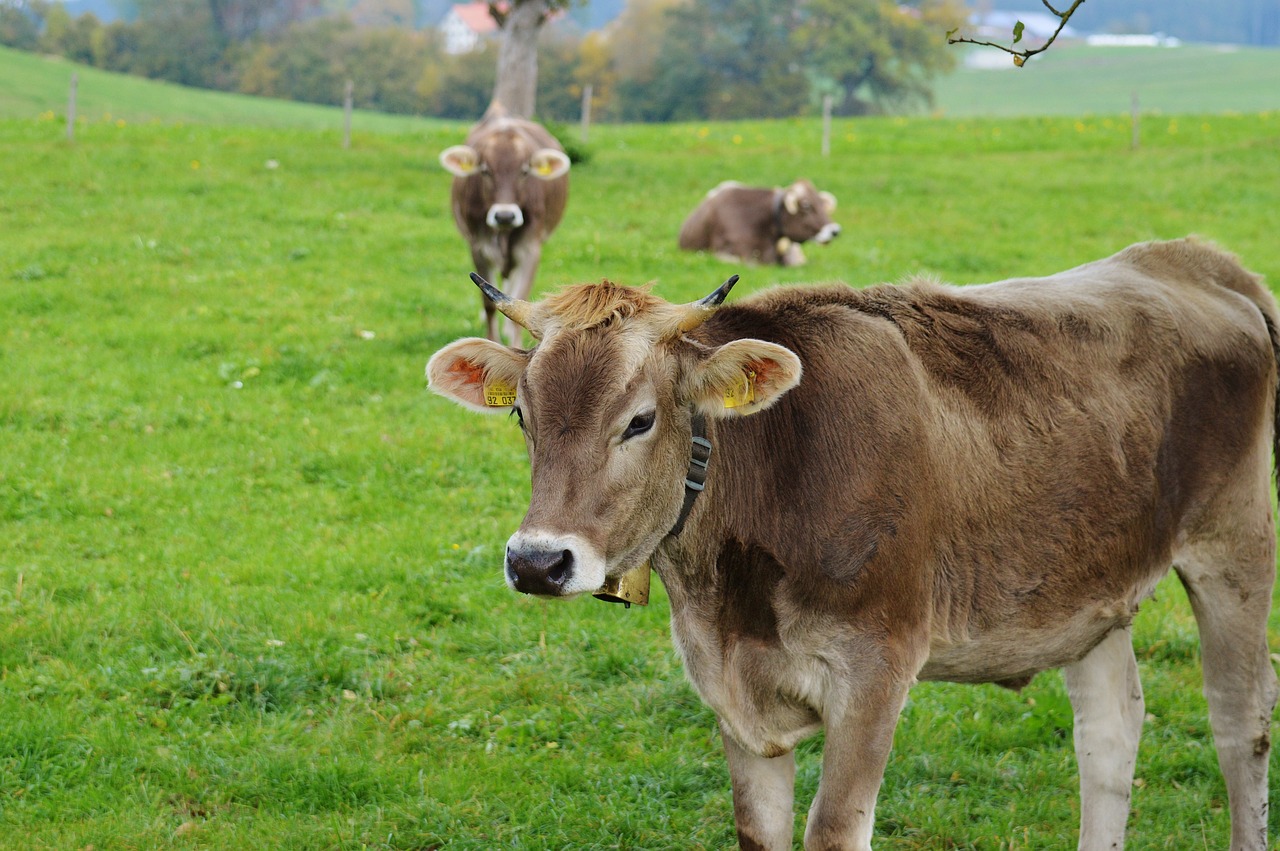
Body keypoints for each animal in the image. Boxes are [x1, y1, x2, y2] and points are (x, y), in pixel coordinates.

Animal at [430, 239, 1280, 849]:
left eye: (639, 419)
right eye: (523, 415)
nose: (538, 560)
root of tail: (1191, 256)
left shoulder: (876, 666)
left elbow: (835, 830)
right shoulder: (730, 686)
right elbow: (760, 831)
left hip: (1235, 540)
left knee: (1239, 721)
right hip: (1089, 586)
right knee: (1109, 734)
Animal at [437, 103, 568, 345]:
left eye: (524, 171)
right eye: (485, 170)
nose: (504, 216)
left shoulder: (530, 248)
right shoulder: (478, 246)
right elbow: (489, 304)